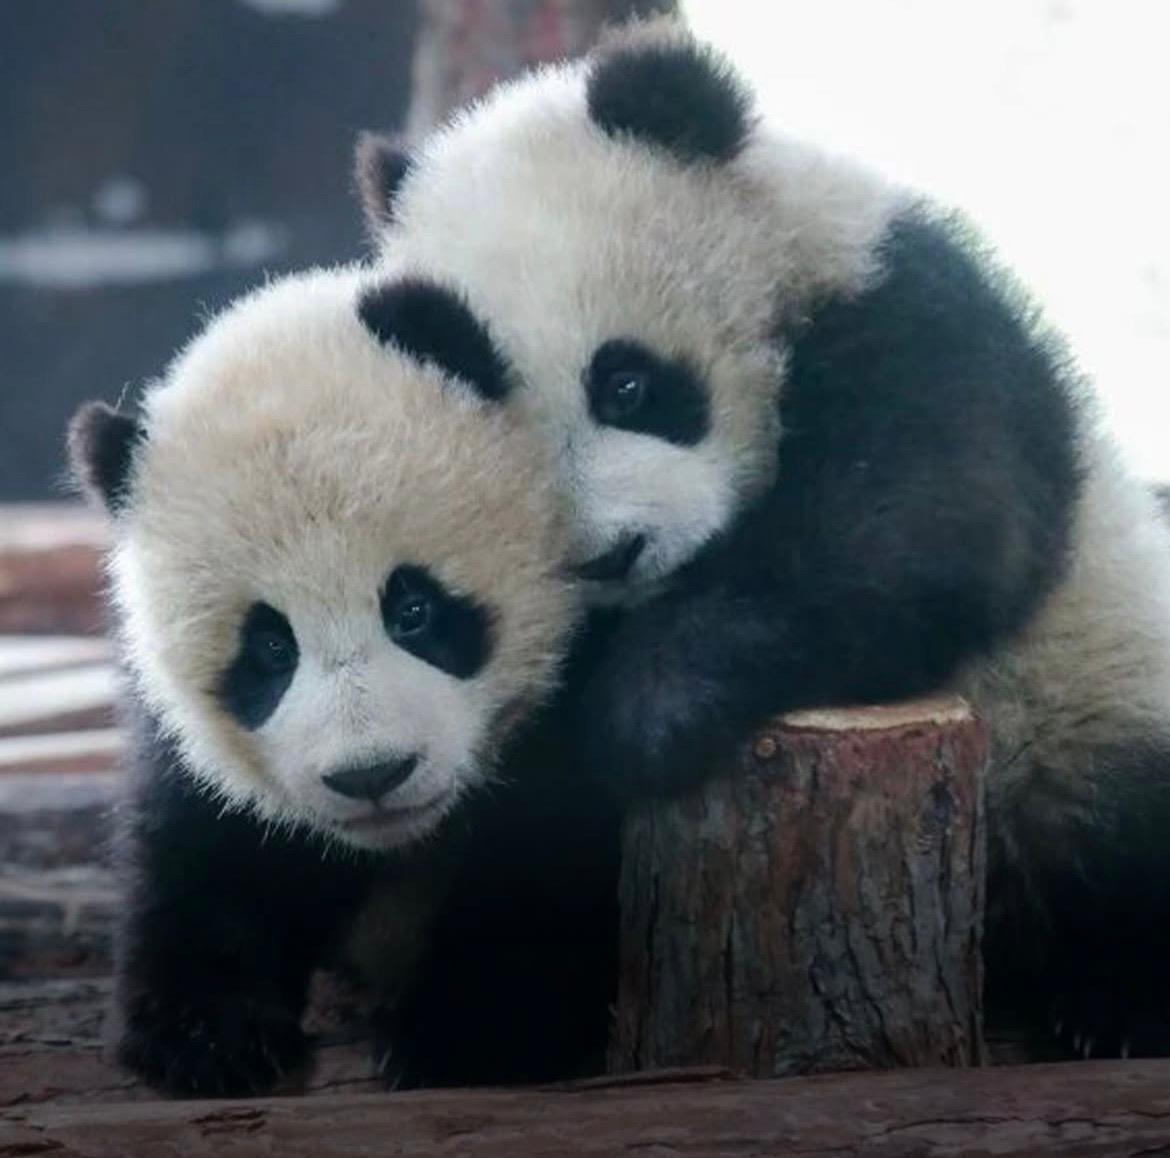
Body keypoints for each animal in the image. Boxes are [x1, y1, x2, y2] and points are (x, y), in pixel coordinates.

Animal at [67, 263, 584, 1095]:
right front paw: (209, 1038)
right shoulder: (188, 737)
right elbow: (202, 842)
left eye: (412, 608)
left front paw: (467, 1031)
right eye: (270, 649)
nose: (373, 774)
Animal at [357, 19, 1170, 1057]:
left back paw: (1113, 1003)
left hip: (1097, 713)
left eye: (626, 384)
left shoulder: (911, 313)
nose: (613, 555)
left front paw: (643, 712)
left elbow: (924, 520)